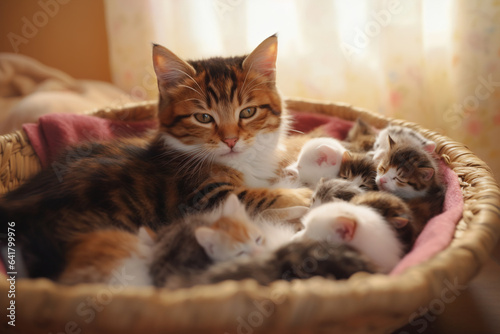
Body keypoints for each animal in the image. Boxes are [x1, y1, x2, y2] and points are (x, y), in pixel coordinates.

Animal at [0, 34, 312, 280]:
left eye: (247, 112)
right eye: (203, 117)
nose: (231, 140)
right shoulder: (201, 196)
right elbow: (256, 195)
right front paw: (304, 196)